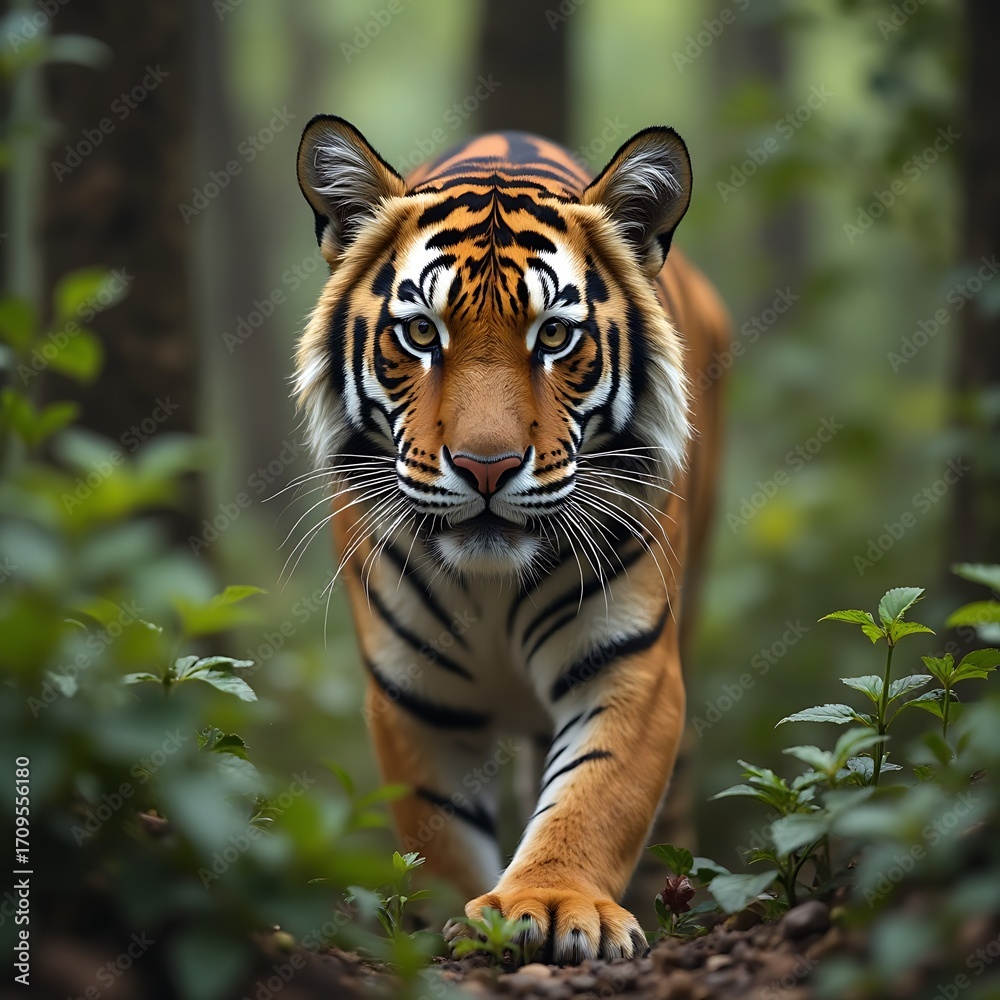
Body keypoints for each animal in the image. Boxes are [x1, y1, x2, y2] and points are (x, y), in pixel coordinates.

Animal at [292, 115, 730, 963]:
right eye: (420, 333)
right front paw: (460, 931)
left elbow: (595, 796)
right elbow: (439, 837)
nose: (486, 467)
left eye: (554, 335)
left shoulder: (629, 663)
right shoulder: (412, 695)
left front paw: (555, 905)